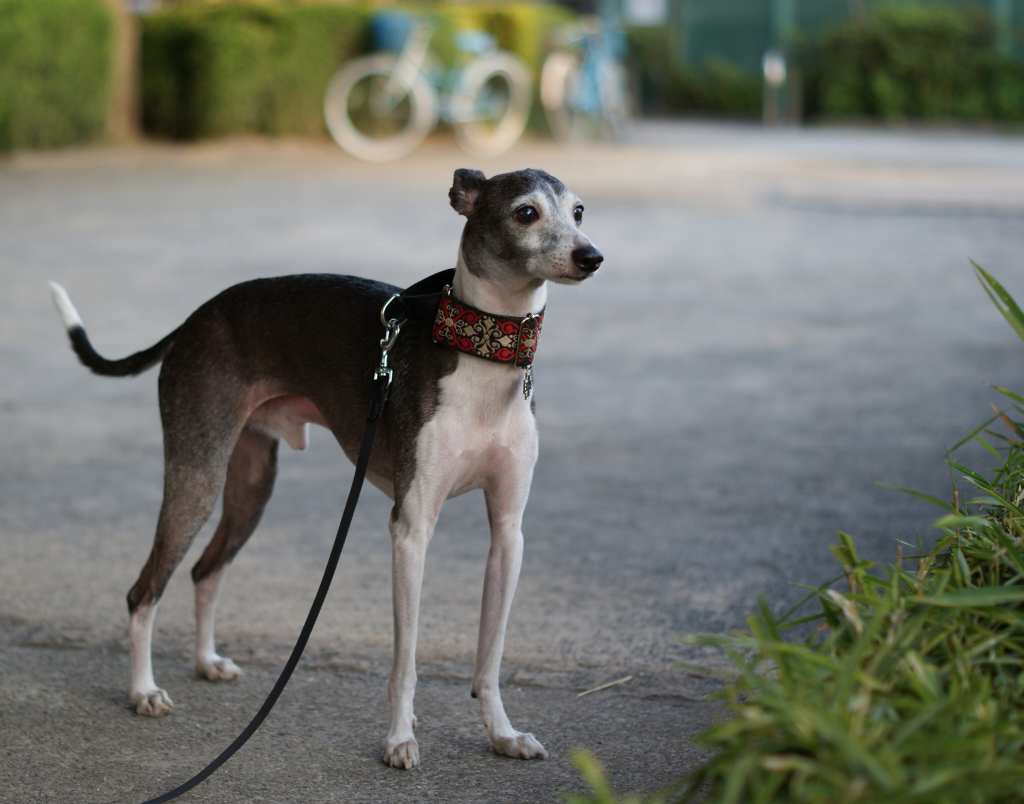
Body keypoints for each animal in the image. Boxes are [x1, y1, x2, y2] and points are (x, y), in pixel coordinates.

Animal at [48, 168, 602, 769]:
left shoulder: (508, 533)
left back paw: (206, 661)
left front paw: (502, 734)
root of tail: (196, 318)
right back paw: (143, 691)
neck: (480, 359)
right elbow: (405, 659)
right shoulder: (411, 529)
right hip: (197, 474)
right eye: (526, 212)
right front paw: (399, 738)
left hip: (250, 483)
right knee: (144, 590)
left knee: (205, 570)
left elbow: (490, 657)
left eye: (578, 212)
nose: (592, 257)